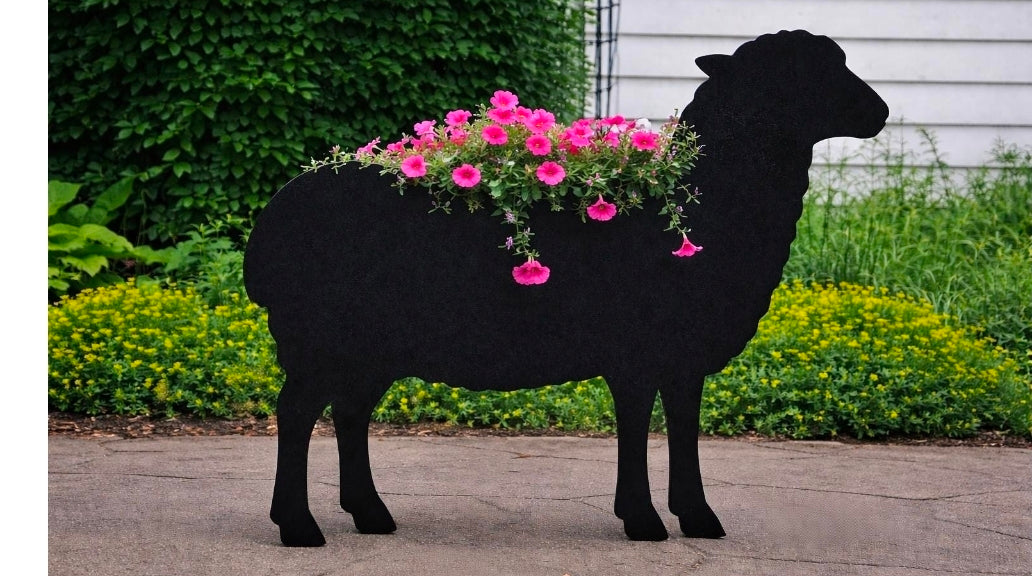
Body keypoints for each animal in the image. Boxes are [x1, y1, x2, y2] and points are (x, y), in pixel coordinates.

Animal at [243, 29, 889, 547]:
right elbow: (637, 427)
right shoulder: (637, 353)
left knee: (349, 414)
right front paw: (643, 521)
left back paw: (371, 515)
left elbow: (682, 427)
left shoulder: (680, 356)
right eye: (800, 74)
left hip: (367, 349)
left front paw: (697, 517)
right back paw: (299, 527)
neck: (706, 197)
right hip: (320, 338)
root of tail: (268, 229)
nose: (881, 112)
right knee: (295, 414)